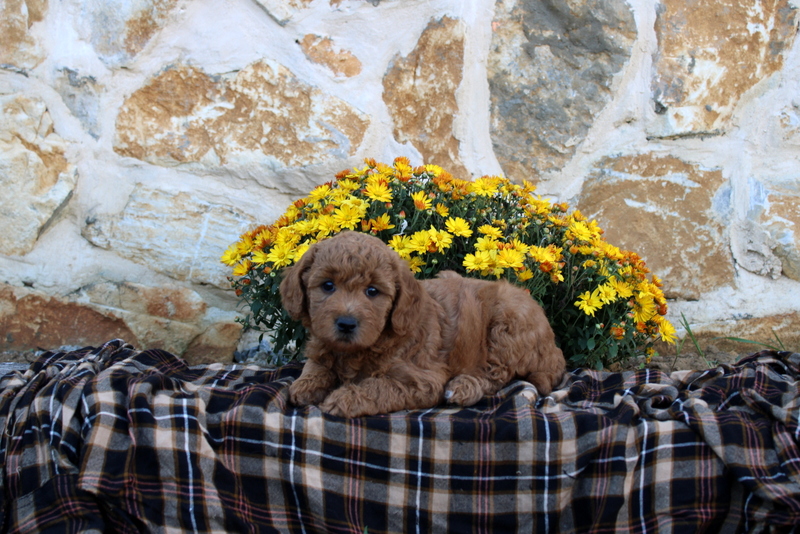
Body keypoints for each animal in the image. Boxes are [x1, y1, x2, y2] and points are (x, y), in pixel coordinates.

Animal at [278, 232, 564, 420]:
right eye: (327, 286)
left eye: (372, 291)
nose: (346, 324)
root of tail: (554, 347)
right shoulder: (323, 345)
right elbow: (315, 365)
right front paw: (306, 385)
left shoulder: (422, 380)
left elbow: (379, 387)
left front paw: (345, 398)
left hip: (507, 324)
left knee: (497, 375)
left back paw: (464, 386)